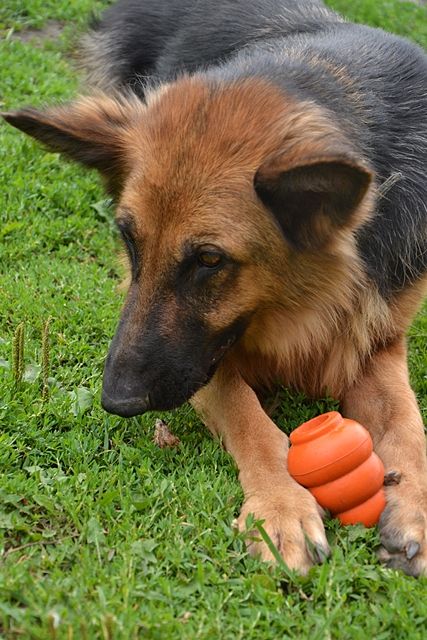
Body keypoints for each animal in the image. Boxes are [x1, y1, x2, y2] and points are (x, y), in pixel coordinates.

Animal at [3, 0, 427, 576]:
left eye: (209, 260)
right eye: (128, 239)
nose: (116, 400)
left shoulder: (376, 339)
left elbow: (408, 423)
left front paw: (417, 510)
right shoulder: (203, 363)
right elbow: (251, 421)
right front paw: (280, 507)